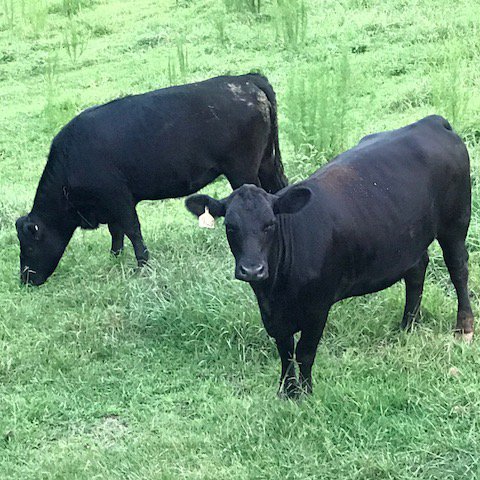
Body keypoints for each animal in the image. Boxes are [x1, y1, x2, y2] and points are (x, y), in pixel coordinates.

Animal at [15, 73, 288, 284]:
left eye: (29, 246)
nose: (25, 279)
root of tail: (245, 79)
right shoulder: (111, 204)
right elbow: (117, 232)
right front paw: (115, 258)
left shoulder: (119, 198)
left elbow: (132, 230)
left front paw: (142, 265)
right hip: (266, 162)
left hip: (243, 170)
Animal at [186, 115, 474, 398]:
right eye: (230, 226)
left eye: (270, 224)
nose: (252, 269)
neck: (275, 289)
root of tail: (431, 121)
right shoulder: (273, 313)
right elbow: (285, 350)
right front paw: (286, 391)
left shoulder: (318, 306)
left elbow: (305, 351)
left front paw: (306, 393)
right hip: (411, 237)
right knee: (416, 271)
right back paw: (407, 325)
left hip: (455, 222)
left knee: (458, 270)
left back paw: (464, 328)